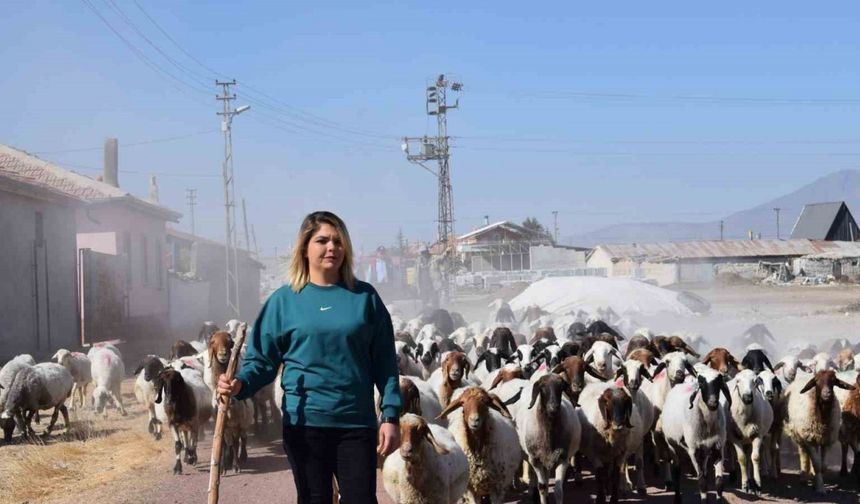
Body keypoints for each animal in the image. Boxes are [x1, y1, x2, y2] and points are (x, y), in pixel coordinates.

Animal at [512, 374, 580, 504]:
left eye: (561, 387)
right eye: (542, 387)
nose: (553, 407)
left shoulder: (563, 458)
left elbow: (558, 489)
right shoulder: (535, 460)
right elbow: (542, 487)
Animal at [660, 366, 728, 504]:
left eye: (719, 382)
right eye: (701, 383)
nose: (713, 402)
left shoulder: (718, 447)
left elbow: (719, 483)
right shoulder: (693, 450)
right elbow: (702, 483)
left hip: (705, 450)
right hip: (672, 445)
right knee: (676, 470)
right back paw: (677, 498)